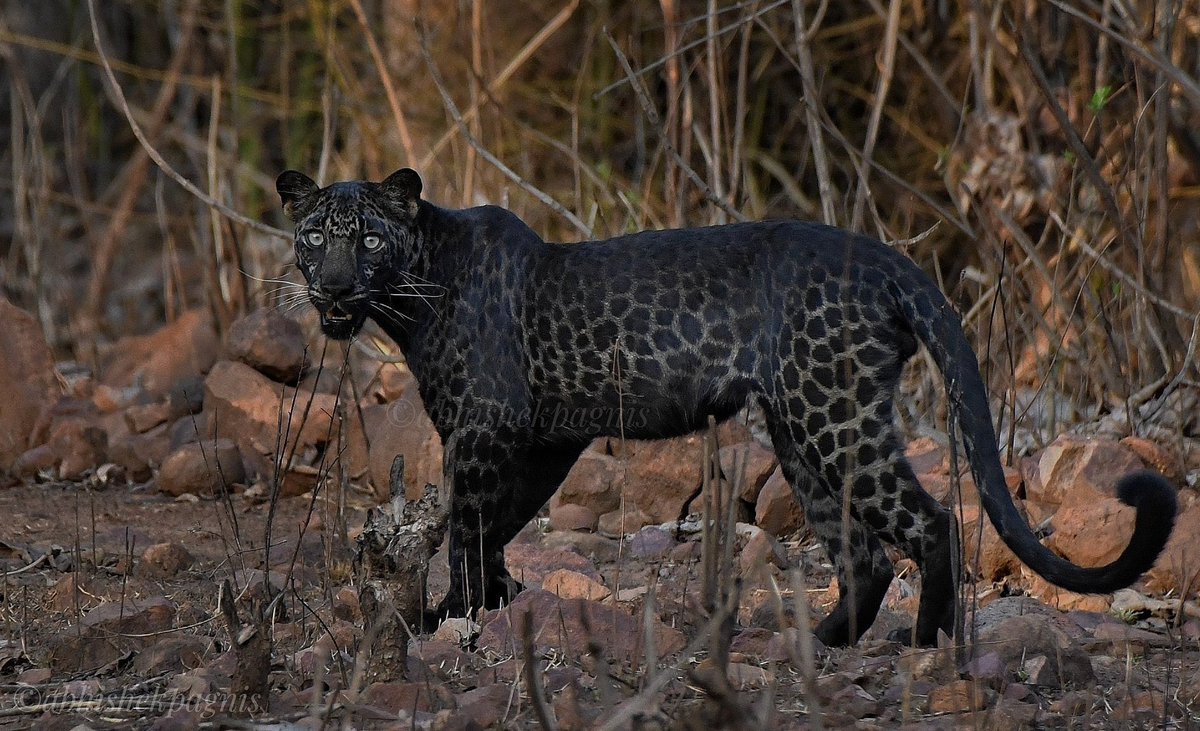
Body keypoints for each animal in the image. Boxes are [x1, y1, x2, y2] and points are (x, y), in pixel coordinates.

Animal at [275, 167, 1177, 647]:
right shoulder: (541, 437)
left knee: (930, 522)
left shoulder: (485, 429)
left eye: (368, 237)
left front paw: (452, 614)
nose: (333, 287)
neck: (411, 294)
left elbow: (466, 523)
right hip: (802, 430)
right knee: (864, 553)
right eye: (314, 235)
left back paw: (925, 644)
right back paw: (818, 643)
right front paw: (489, 603)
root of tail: (888, 259)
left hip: (834, 417)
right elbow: (495, 524)